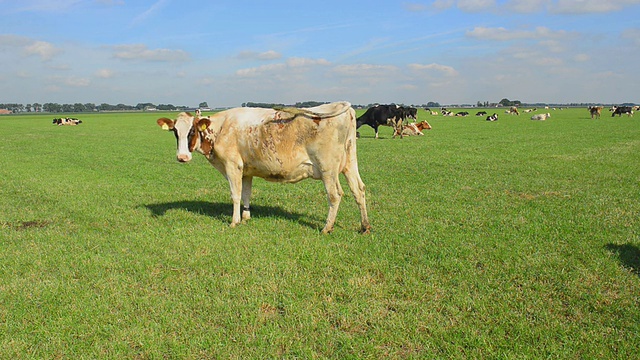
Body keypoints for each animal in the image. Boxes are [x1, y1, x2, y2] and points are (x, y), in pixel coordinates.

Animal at [156, 101, 372, 233]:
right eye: (175, 132)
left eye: (192, 131)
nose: (182, 157)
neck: (221, 128)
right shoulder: (246, 170)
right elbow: (246, 194)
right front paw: (246, 217)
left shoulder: (232, 166)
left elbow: (235, 195)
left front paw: (234, 221)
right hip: (349, 163)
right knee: (358, 190)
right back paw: (365, 227)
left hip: (327, 169)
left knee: (335, 195)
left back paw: (327, 228)